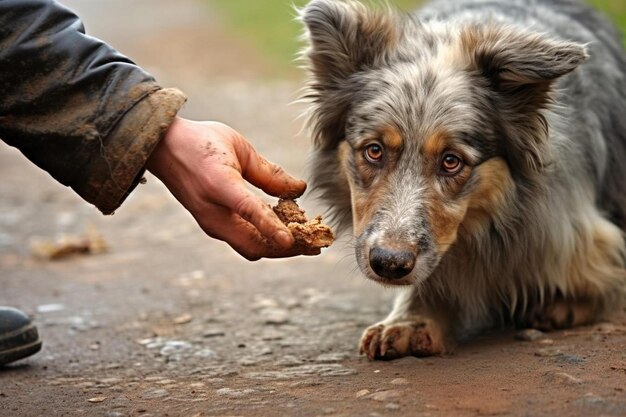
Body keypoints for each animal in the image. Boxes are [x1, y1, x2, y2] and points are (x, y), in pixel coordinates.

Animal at [298, 0, 624, 358]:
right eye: (374, 151)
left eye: (451, 161)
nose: (389, 264)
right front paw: (411, 318)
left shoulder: (585, 239)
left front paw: (561, 302)